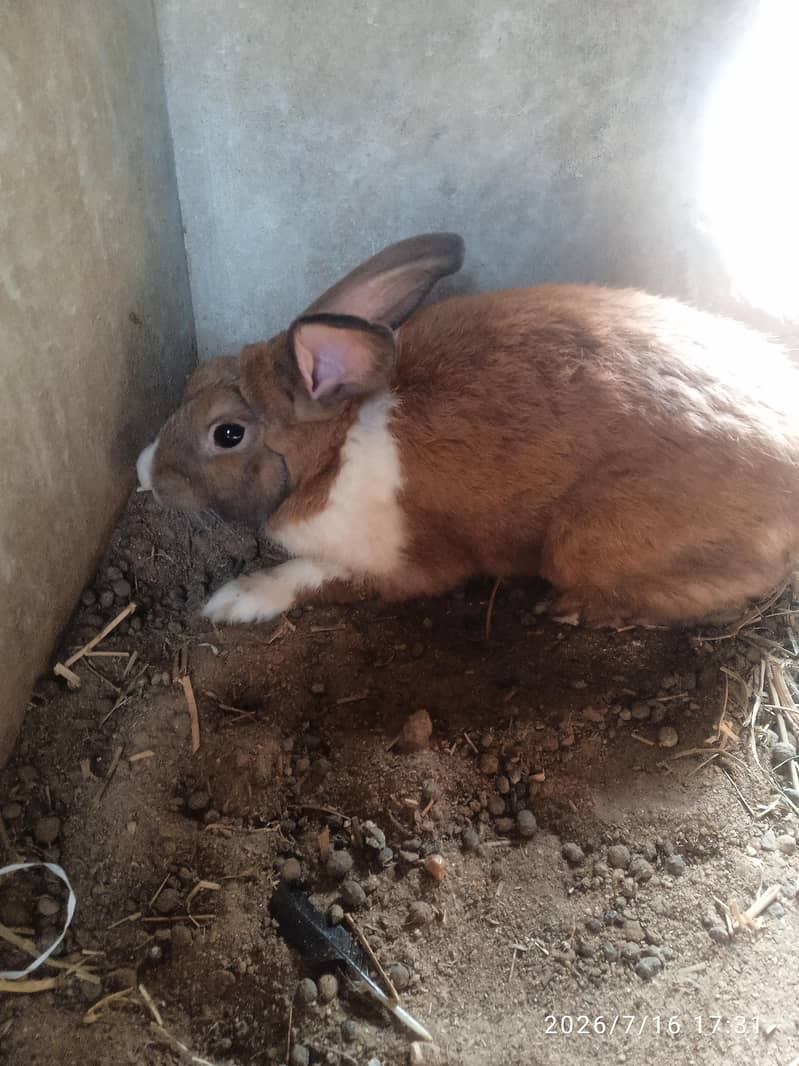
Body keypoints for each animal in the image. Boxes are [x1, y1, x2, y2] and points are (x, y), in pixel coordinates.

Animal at [137, 232, 799, 629]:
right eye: (199, 373)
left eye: (227, 434)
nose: (143, 471)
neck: (333, 449)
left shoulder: (396, 565)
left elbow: (306, 577)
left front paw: (233, 600)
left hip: (586, 542)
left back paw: (571, 608)